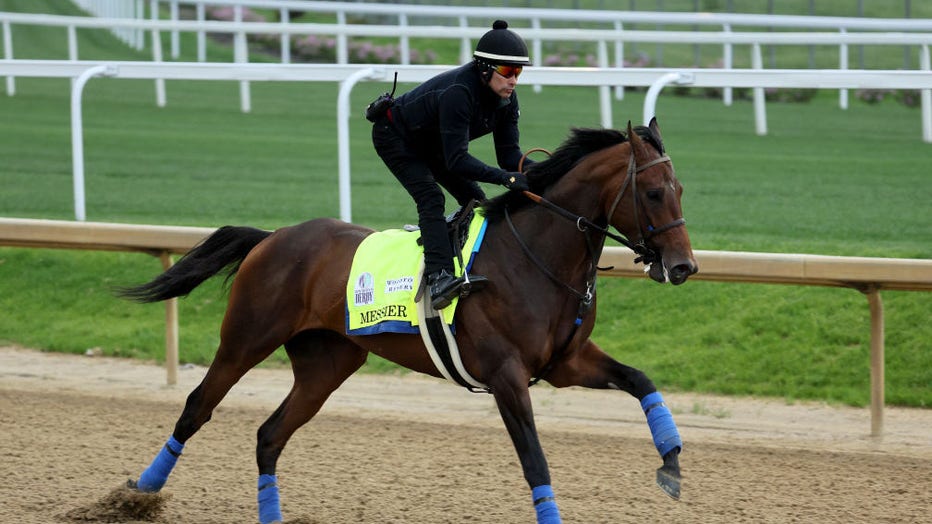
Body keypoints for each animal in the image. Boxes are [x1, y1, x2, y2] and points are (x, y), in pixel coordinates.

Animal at [120, 118, 696, 524]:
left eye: (681, 189)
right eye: (652, 192)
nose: (684, 266)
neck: (536, 258)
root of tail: (272, 236)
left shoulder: (565, 363)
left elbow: (640, 380)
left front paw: (671, 463)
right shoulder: (506, 375)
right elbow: (535, 458)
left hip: (326, 363)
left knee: (269, 434)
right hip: (246, 338)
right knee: (198, 407)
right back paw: (139, 492)